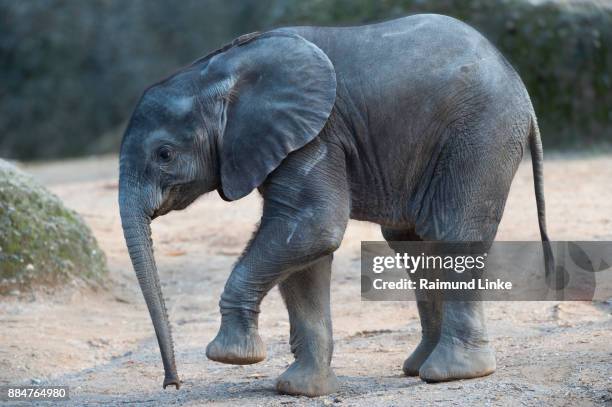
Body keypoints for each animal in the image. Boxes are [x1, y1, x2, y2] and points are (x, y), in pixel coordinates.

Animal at [117, 13, 552, 398]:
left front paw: (232, 356)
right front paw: (301, 389)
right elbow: (303, 252)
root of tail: (523, 90)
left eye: (165, 154)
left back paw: (453, 372)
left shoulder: (317, 135)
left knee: (454, 233)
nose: (172, 383)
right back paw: (419, 367)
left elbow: (313, 227)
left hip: (481, 132)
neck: (214, 71)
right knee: (412, 242)